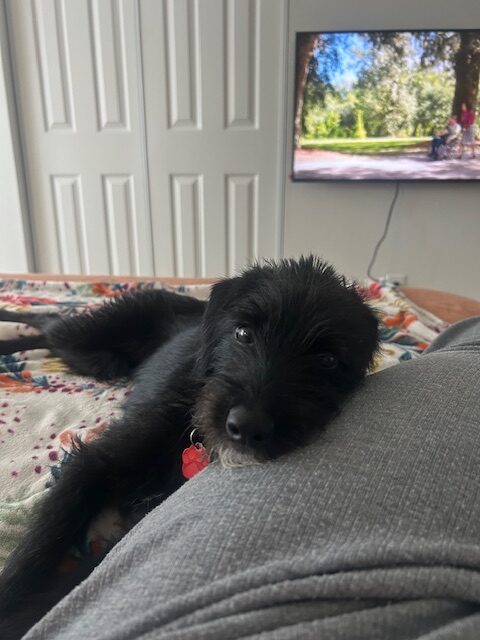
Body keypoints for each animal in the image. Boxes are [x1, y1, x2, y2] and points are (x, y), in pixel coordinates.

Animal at [0, 257, 379, 638]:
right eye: (243, 333)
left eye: (327, 360)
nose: (247, 426)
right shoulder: (93, 464)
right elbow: (36, 552)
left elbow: (74, 588)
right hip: (83, 337)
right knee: (48, 321)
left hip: (96, 361)